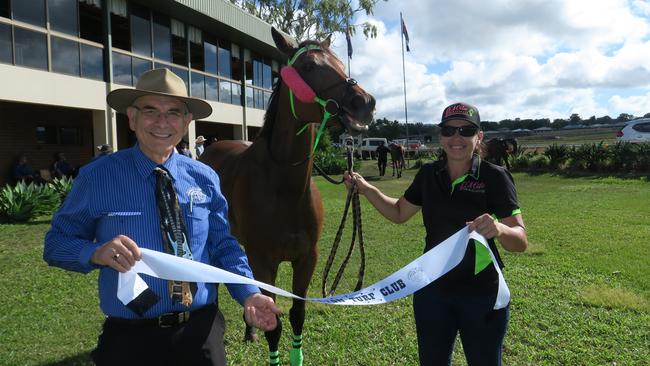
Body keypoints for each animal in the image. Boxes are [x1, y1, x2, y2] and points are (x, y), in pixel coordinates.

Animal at [201, 28, 374, 366]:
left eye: (339, 64)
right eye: (308, 67)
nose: (364, 102)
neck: (285, 189)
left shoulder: (307, 259)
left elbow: (296, 316)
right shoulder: (263, 261)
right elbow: (274, 325)